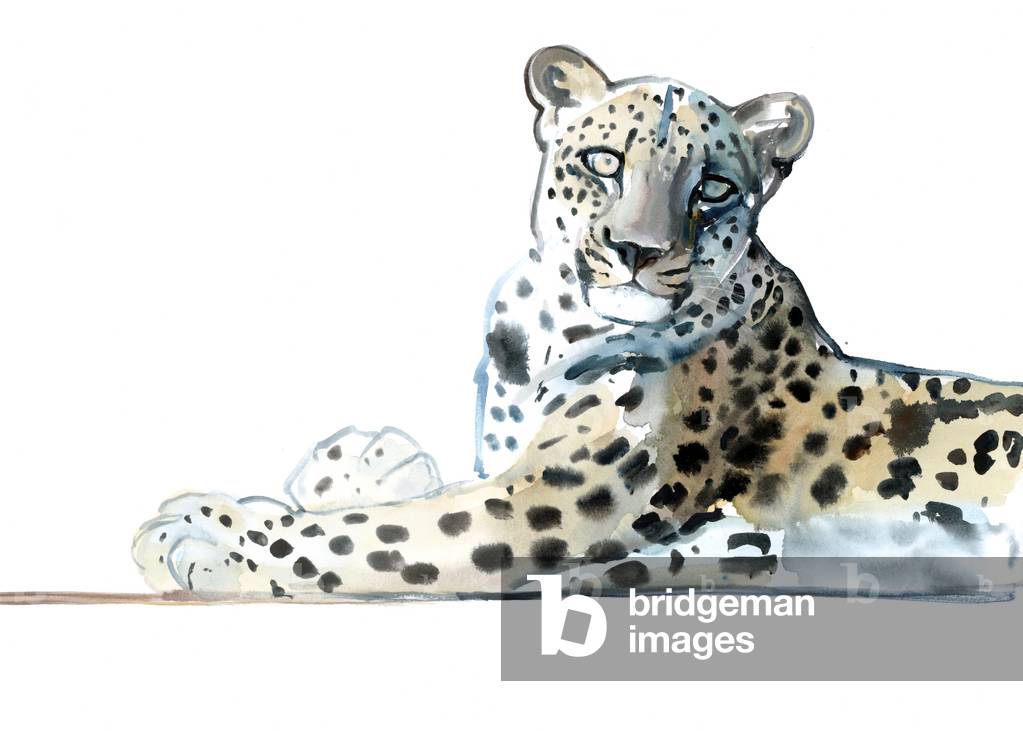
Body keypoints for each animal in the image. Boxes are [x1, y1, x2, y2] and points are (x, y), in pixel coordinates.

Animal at [133, 46, 1023, 599]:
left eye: (712, 188)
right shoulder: (511, 467)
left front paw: (202, 535)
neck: (545, 328)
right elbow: (394, 498)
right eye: (602, 162)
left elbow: (369, 537)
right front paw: (355, 463)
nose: (638, 249)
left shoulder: (545, 502)